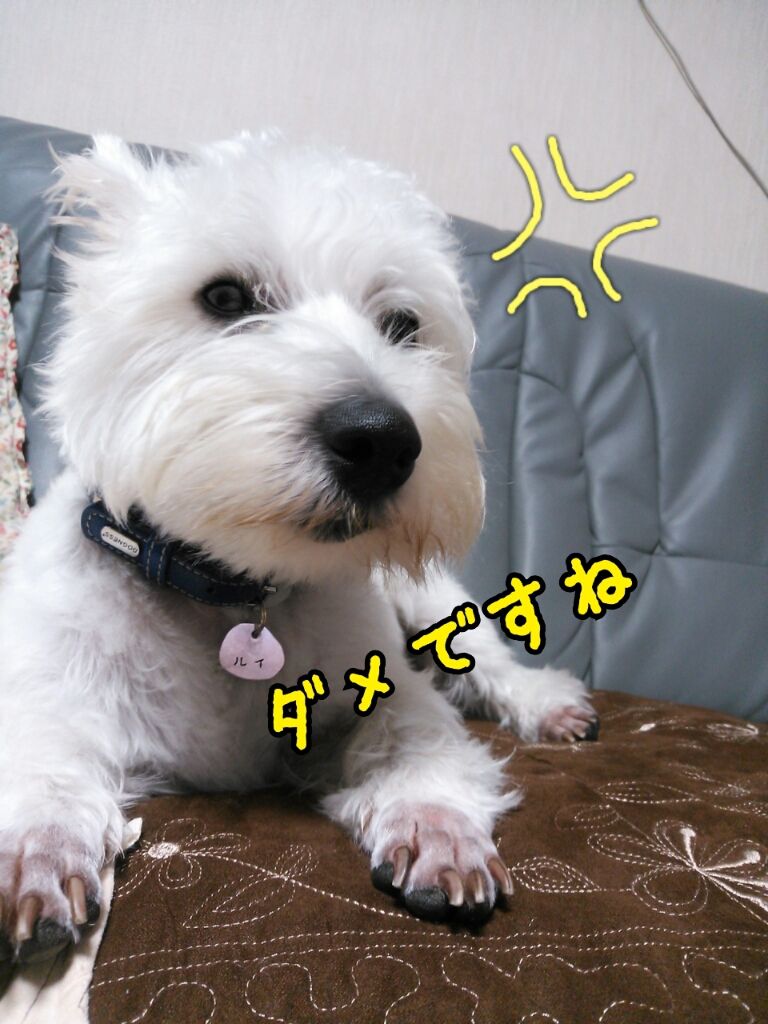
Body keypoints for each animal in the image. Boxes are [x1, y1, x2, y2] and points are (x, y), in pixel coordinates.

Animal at [0, 133, 596, 962]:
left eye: (403, 324)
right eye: (224, 298)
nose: (381, 441)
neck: (234, 589)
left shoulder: (380, 684)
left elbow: (414, 735)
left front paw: (437, 830)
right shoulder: (47, 682)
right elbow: (43, 755)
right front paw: (38, 853)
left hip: (428, 599)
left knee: (488, 661)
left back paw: (550, 706)